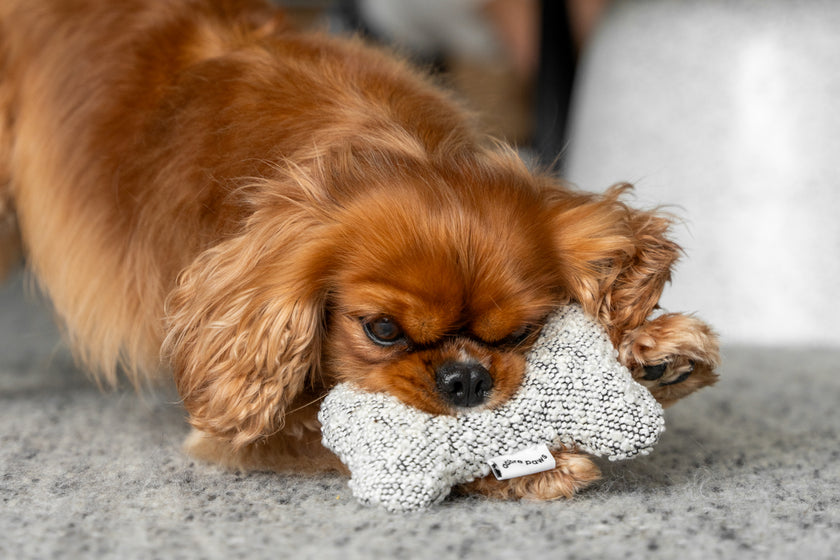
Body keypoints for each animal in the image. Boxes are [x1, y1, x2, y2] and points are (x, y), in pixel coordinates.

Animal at [0, 0, 720, 498]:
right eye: (382, 331)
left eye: (522, 334)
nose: (465, 378)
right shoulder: (232, 424)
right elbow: (331, 435)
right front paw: (515, 470)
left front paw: (648, 352)